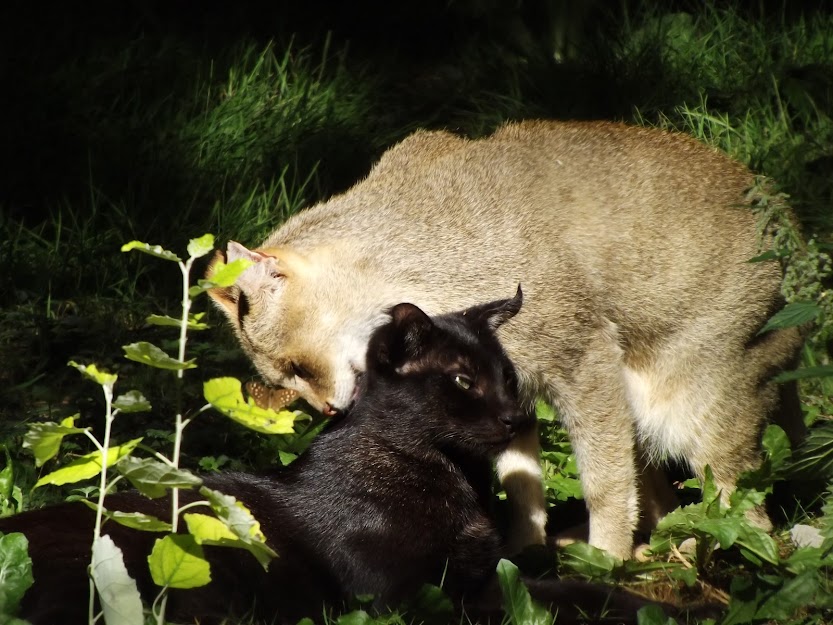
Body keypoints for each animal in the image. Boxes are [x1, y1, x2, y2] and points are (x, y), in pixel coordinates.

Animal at [0, 292, 668, 624]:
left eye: (506, 376)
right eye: (462, 381)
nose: (516, 415)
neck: (457, 480)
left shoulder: (484, 573)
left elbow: (564, 583)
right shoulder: (412, 600)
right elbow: (532, 601)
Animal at [208, 119, 800, 560]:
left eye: (296, 367)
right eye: (283, 380)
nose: (326, 411)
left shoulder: (583, 362)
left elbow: (604, 483)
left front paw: (605, 560)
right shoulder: (512, 396)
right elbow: (521, 482)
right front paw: (526, 550)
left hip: (691, 414)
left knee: (752, 519)